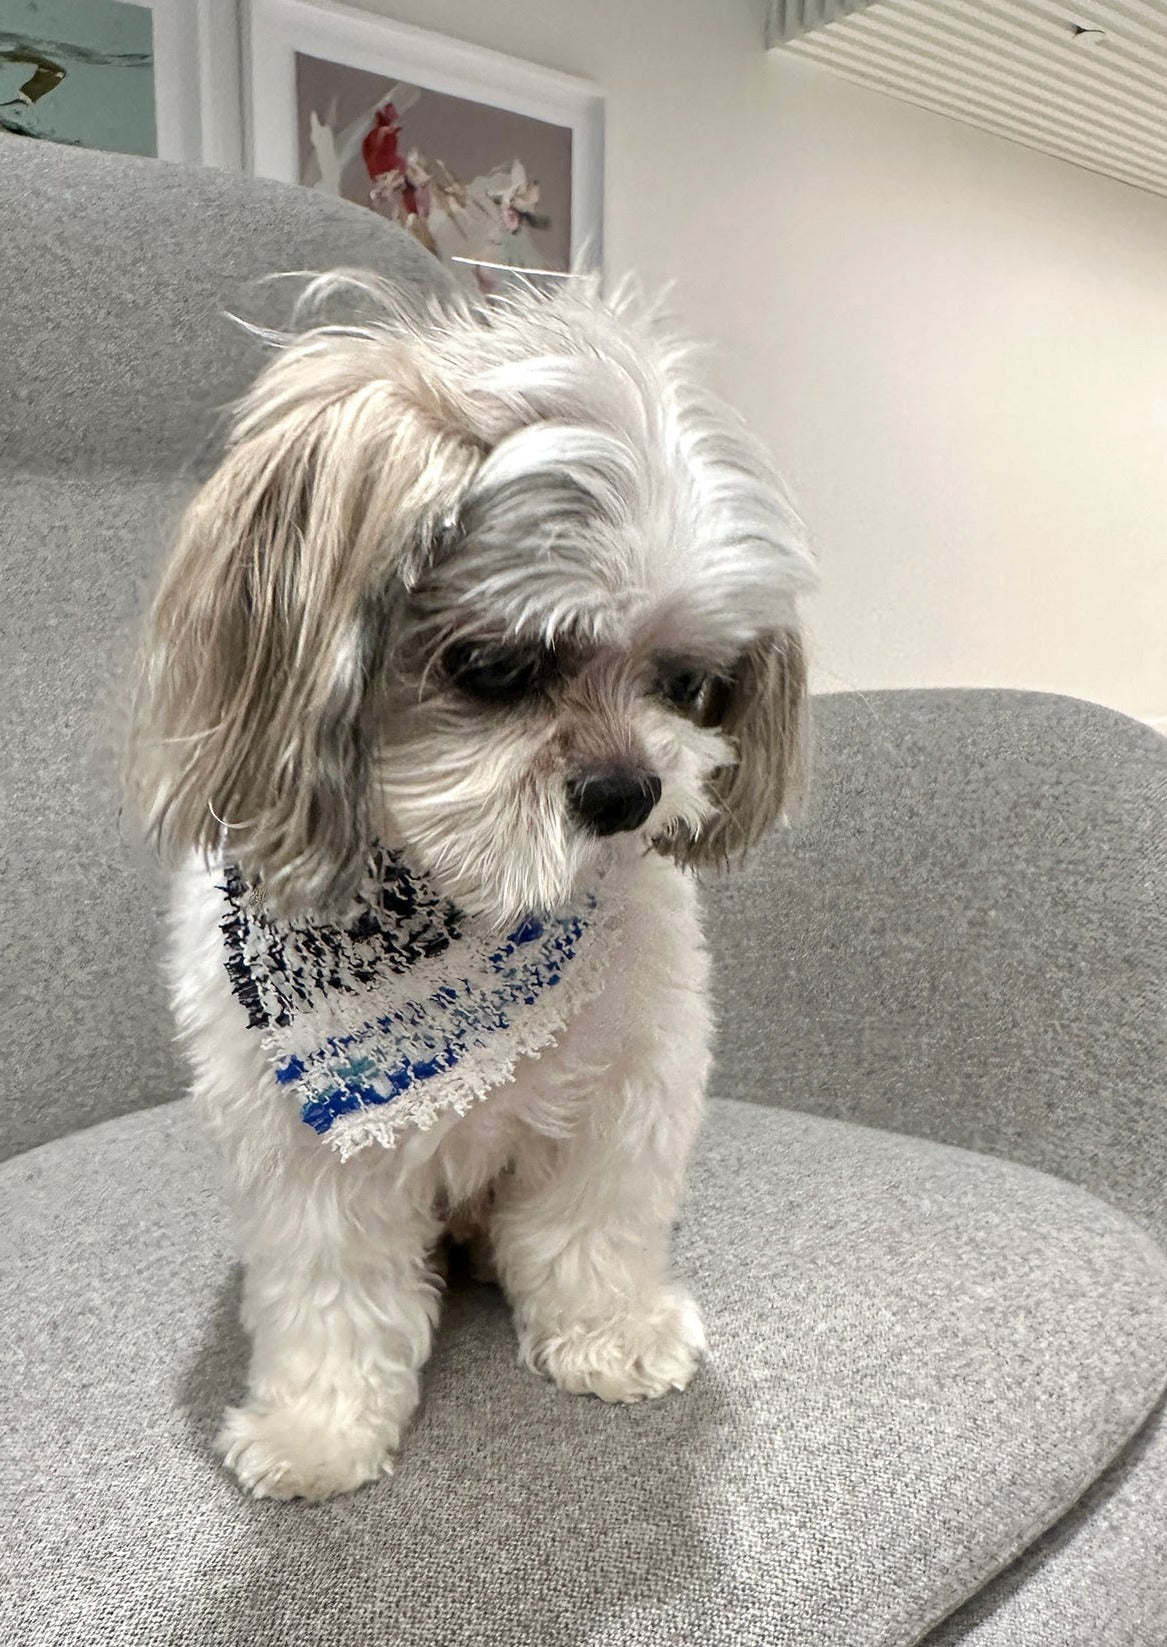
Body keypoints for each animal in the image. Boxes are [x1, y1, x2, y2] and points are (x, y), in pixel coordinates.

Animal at [122, 276, 816, 1502]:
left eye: (689, 683)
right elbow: (333, 1299)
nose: (629, 791)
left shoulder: (627, 1094)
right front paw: (317, 1430)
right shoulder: (309, 1167)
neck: (468, 894)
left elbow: (594, 1232)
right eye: (497, 668)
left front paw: (613, 1333)